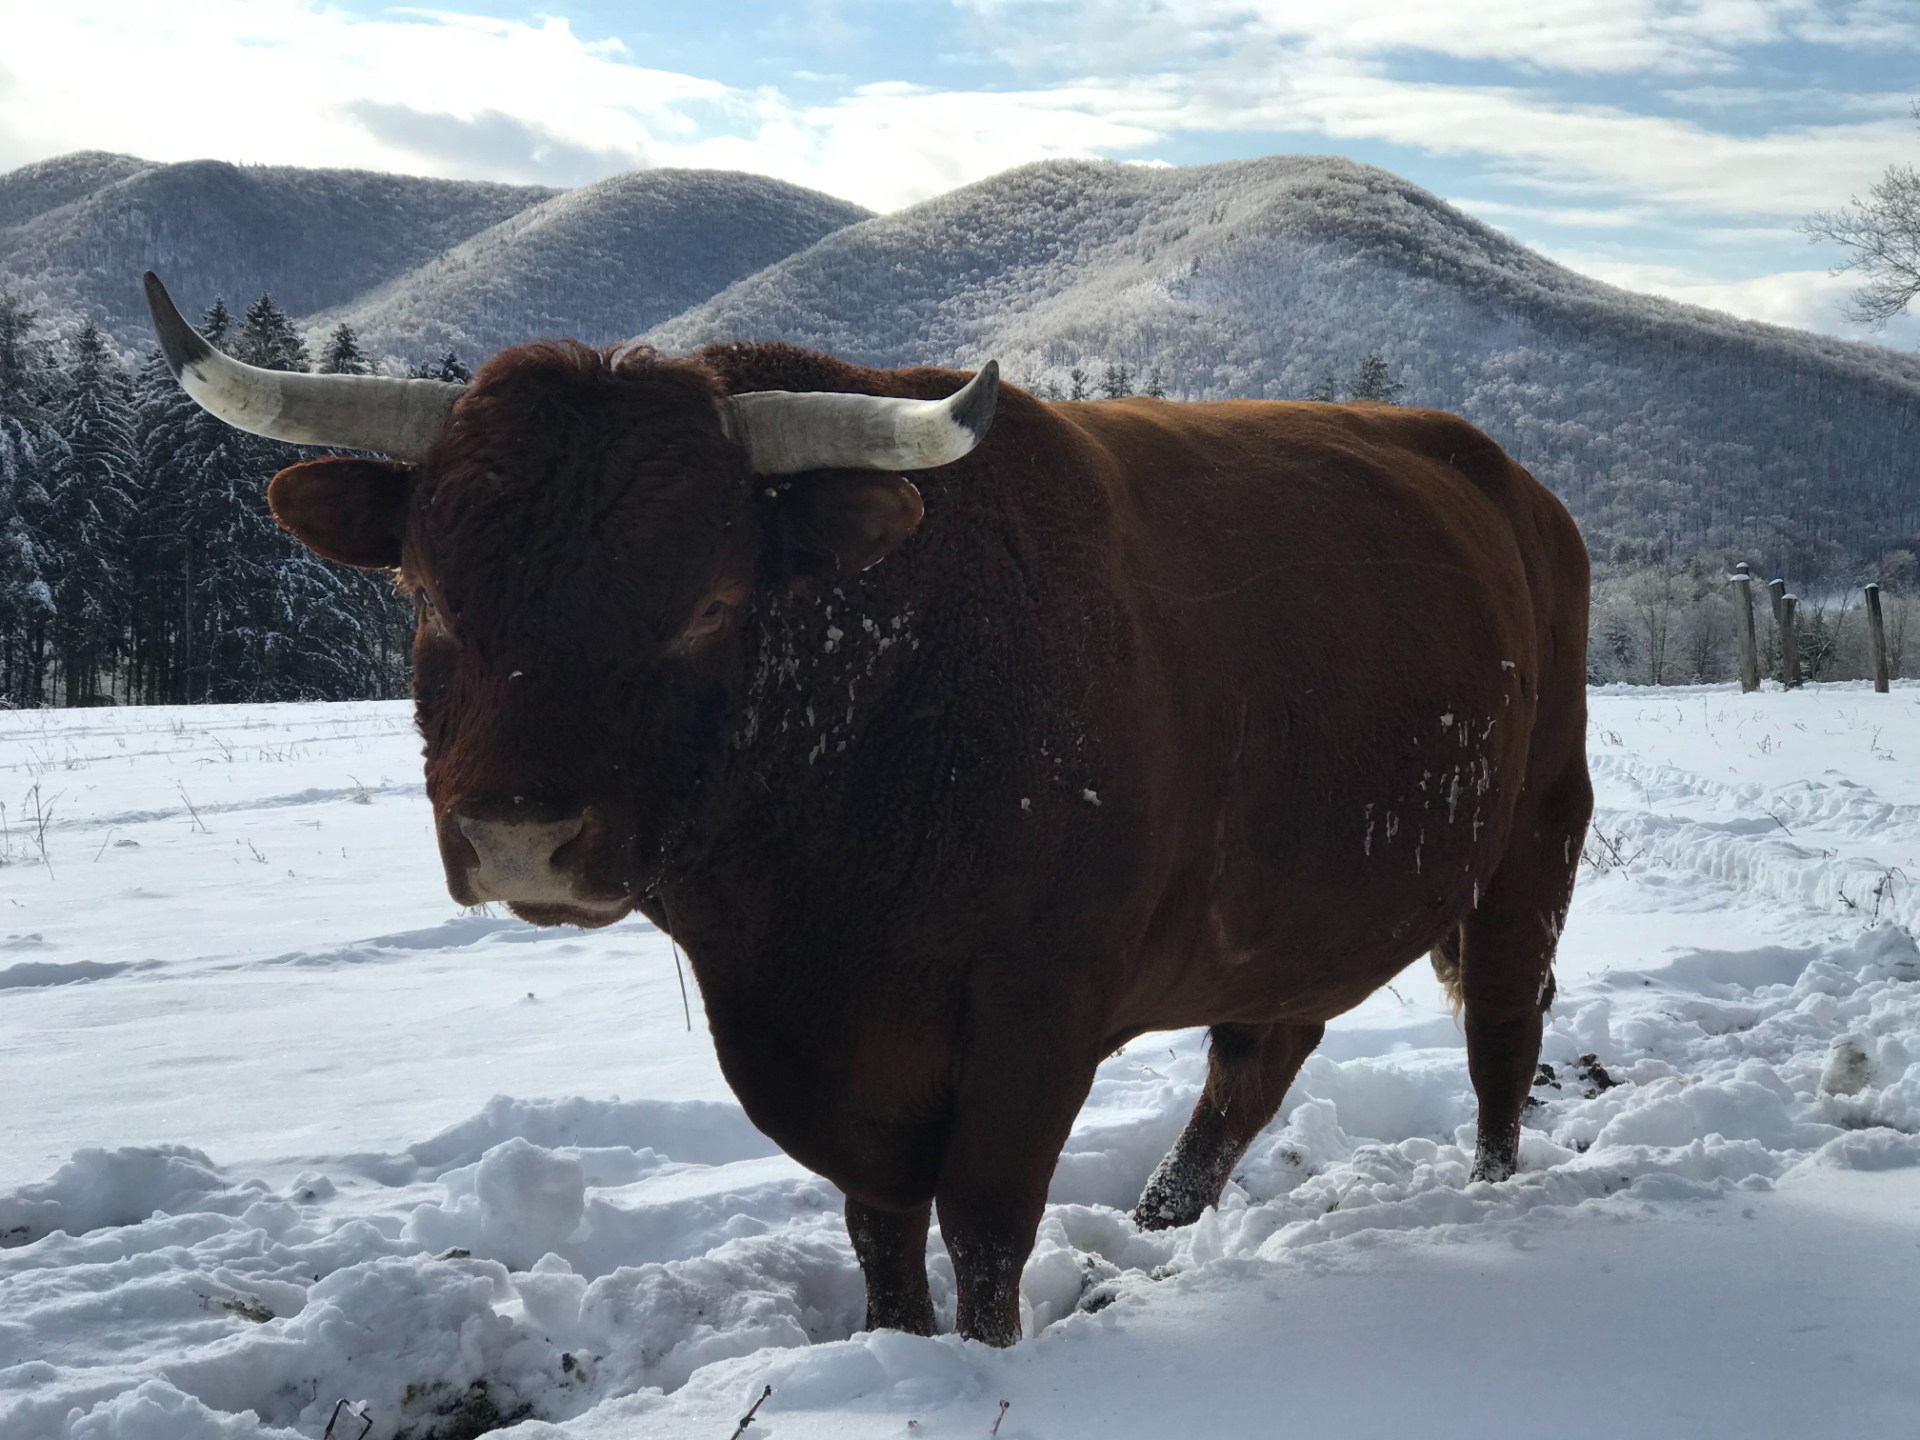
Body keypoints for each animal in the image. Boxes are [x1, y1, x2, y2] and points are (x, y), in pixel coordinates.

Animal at [144, 270, 1592, 1348]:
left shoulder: (1036, 1009)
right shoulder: (815, 1046)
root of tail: (1514, 483)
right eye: (426, 593)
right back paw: (1163, 1226)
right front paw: (900, 1343)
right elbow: (881, 1229)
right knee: (1255, 1065)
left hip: (1534, 840)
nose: (517, 837)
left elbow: (986, 1228)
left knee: (1500, 1042)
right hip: (1291, 912)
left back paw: (1490, 1192)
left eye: (711, 603)